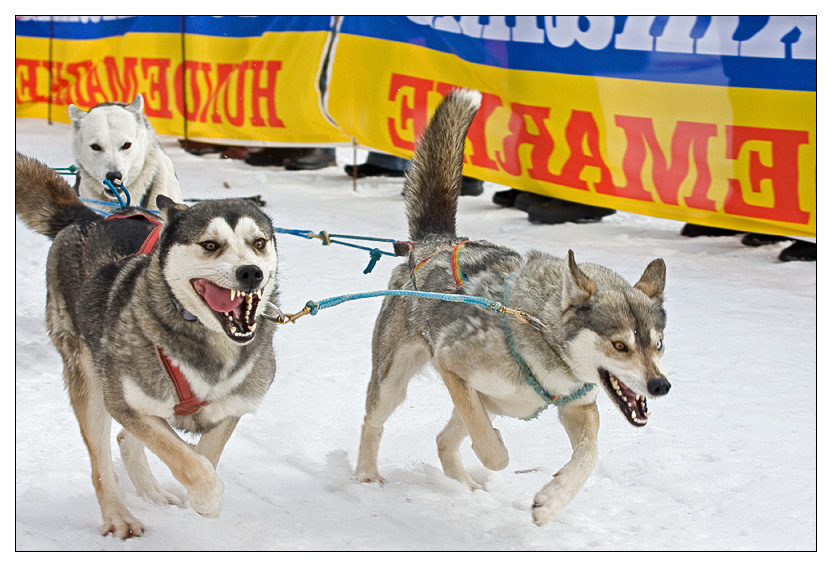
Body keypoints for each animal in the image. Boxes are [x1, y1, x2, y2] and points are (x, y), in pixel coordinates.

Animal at [354, 90, 672, 528]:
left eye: (657, 344)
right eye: (619, 345)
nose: (660, 386)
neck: (541, 334)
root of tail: (435, 241)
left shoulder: (578, 408)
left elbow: (589, 455)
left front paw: (552, 500)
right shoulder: (452, 363)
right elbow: (494, 452)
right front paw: (499, 455)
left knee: (445, 439)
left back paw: (466, 487)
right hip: (394, 382)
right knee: (376, 421)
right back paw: (367, 475)